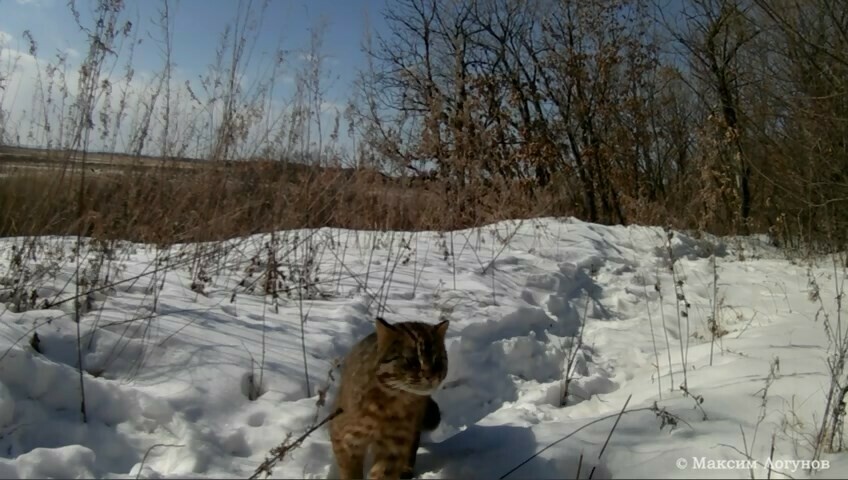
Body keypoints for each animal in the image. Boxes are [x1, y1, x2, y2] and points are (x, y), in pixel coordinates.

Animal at [332, 316, 450, 478]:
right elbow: (350, 473)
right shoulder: (343, 436)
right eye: (412, 360)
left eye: (437, 359)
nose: (431, 376)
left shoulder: (392, 446)